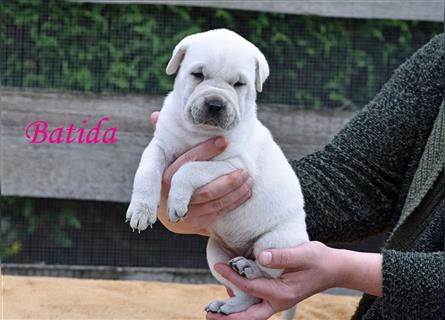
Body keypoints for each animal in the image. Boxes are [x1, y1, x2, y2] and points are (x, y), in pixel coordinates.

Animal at [126, 29, 306, 318]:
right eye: (197, 75)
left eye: (239, 84)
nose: (215, 104)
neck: (200, 133)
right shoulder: (161, 144)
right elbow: (147, 170)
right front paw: (142, 211)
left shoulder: (235, 165)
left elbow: (188, 168)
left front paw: (176, 202)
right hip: (216, 253)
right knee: (249, 293)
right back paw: (228, 304)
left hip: (276, 243)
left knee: (270, 277)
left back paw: (250, 268)